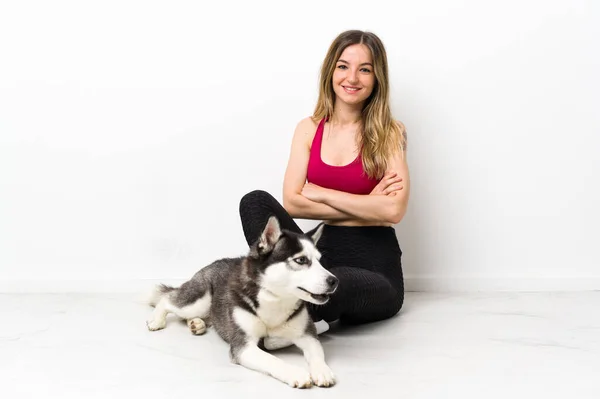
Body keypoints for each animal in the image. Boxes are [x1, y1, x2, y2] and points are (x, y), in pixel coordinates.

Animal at [146, 217, 338, 390]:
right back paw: (157, 320)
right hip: (199, 300)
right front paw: (295, 372)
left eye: (320, 261)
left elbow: (316, 353)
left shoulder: (307, 334)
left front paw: (322, 371)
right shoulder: (243, 346)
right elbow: (272, 359)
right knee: (167, 299)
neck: (275, 300)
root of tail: (212, 264)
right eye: (301, 260)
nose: (334, 281)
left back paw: (197, 323)